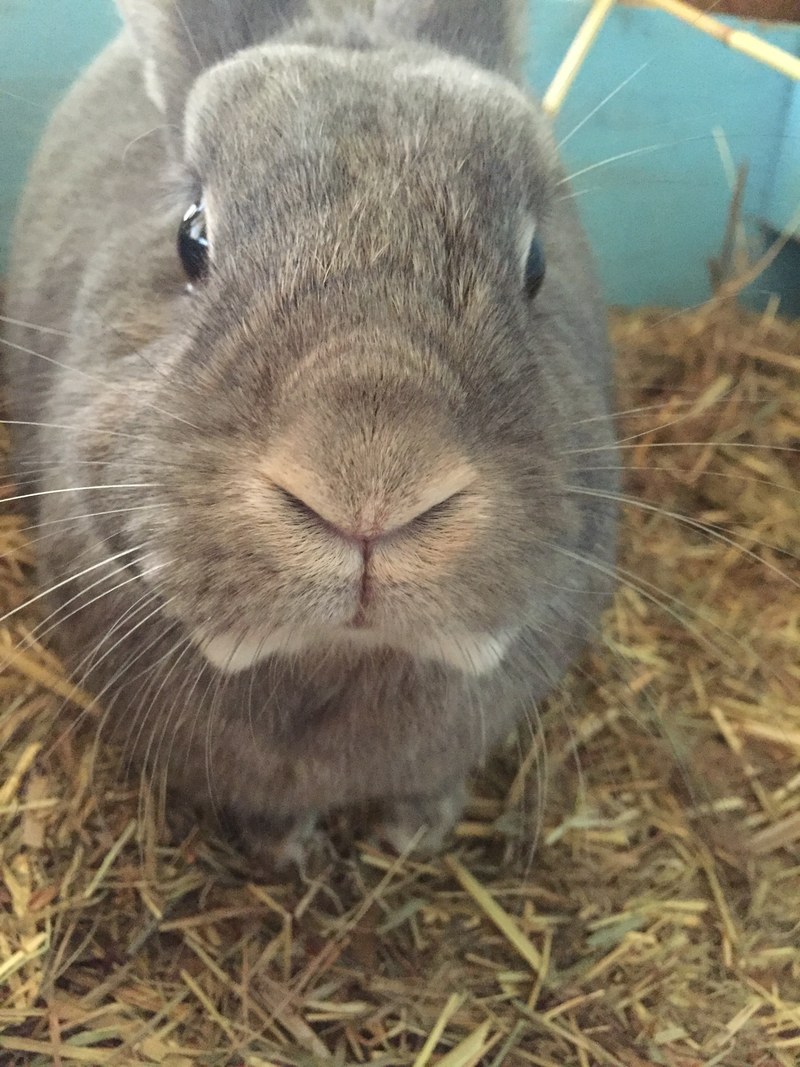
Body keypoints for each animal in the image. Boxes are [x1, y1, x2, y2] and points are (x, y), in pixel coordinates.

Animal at [2, 0, 618, 866]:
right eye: (190, 239)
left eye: (535, 265)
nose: (370, 490)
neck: (338, 656)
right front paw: (283, 848)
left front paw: (417, 832)